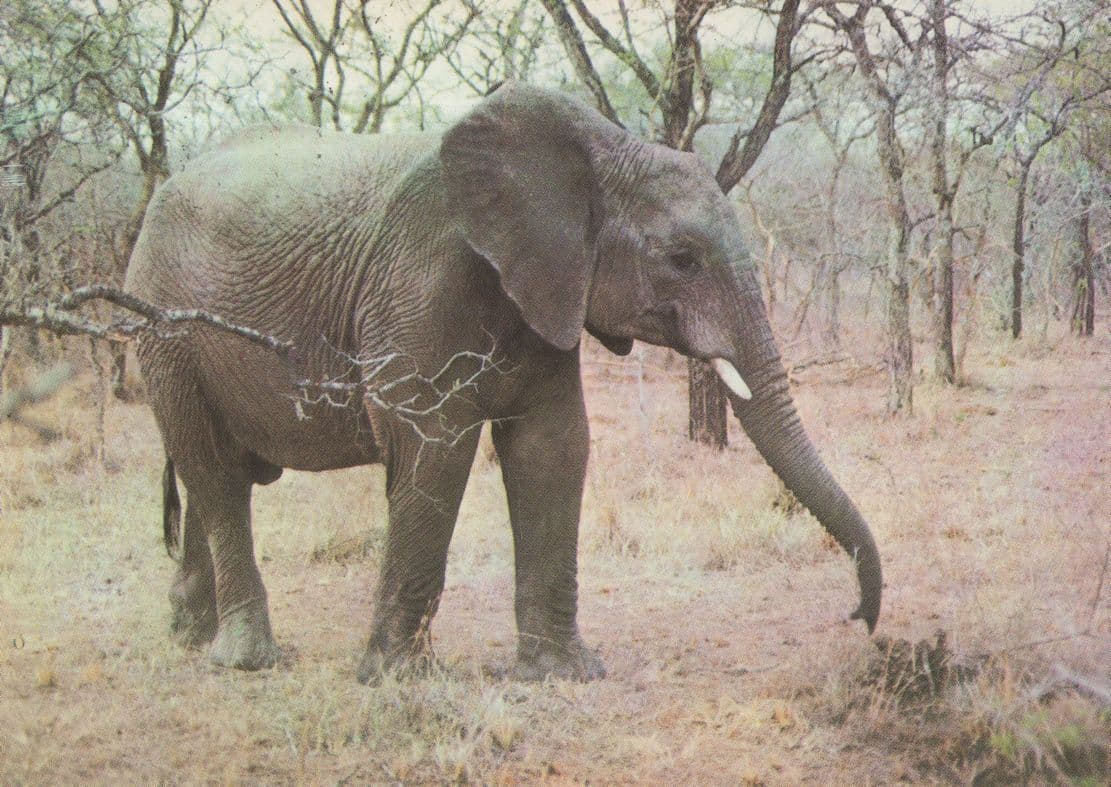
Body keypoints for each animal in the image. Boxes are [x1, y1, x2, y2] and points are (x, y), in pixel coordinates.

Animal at [124, 81, 881, 683]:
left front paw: (563, 673)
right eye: (682, 258)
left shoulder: (546, 287)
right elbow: (433, 451)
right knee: (214, 470)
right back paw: (246, 660)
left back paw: (189, 635)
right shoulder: (420, 286)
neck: (600, 151)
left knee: (212, 474)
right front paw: (398, 679)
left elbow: (554, 448)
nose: (857, 618)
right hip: (164, 329)